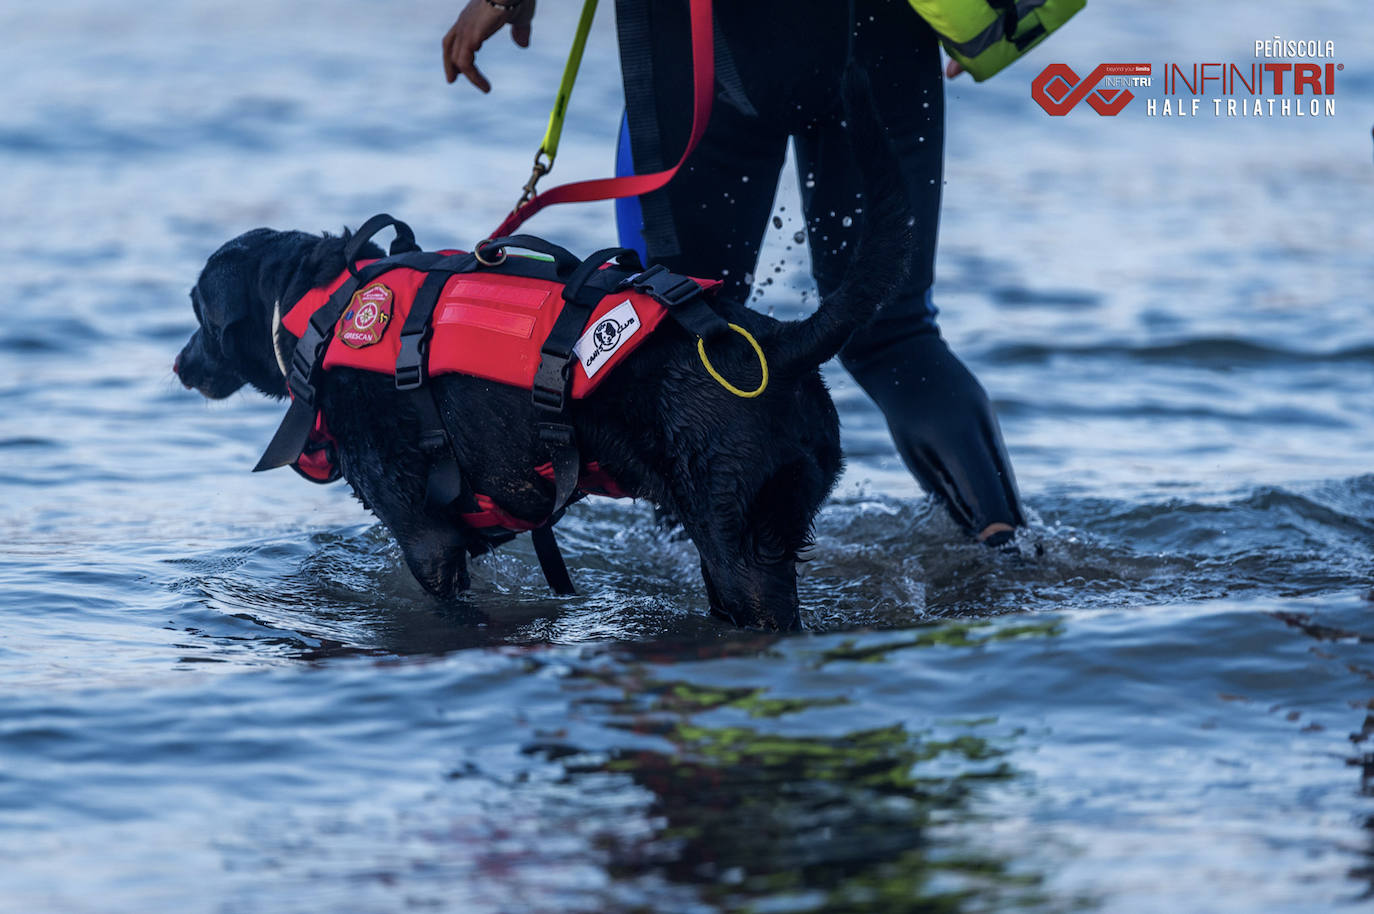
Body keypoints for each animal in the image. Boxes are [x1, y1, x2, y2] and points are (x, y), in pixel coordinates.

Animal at [174, 76, 912, 626]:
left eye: (199, 314)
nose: (178, 365)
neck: (324, 302)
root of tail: (779, 342)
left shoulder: (427, 540)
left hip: (739, 549)